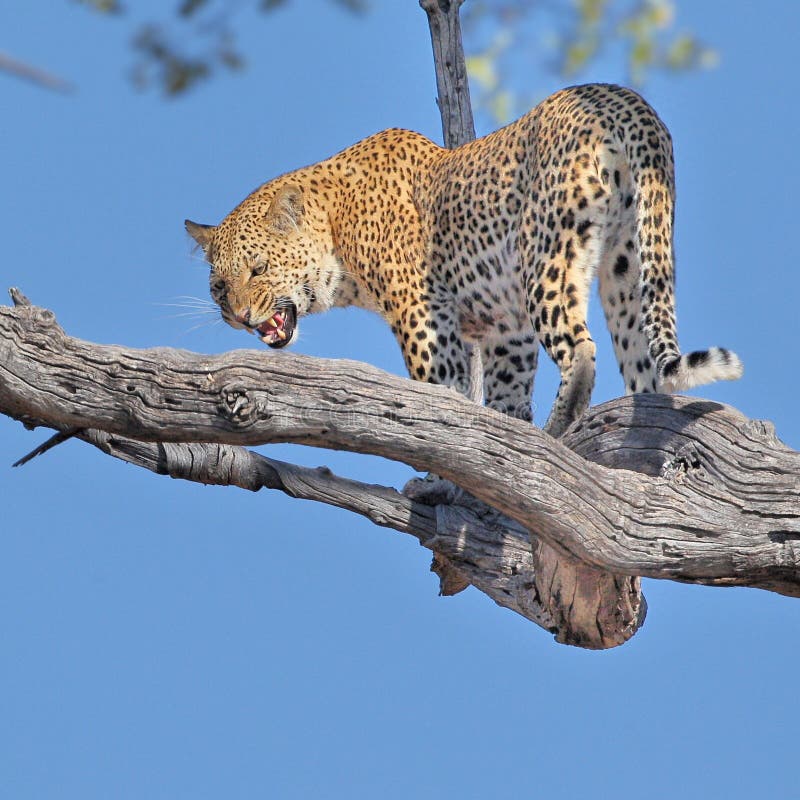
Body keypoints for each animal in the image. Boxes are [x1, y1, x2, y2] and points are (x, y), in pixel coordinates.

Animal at [186, 83, 742, 438]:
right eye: (219, 288)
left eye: (259, 269)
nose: (241, 316)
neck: (339, 230)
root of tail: (622, 99)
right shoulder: (505, 330)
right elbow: (504, 398)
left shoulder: (423, 315)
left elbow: (442, 393)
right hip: (630, 265)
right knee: (644, 374)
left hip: (547, 257)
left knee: (581, 350)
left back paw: (561, 427)